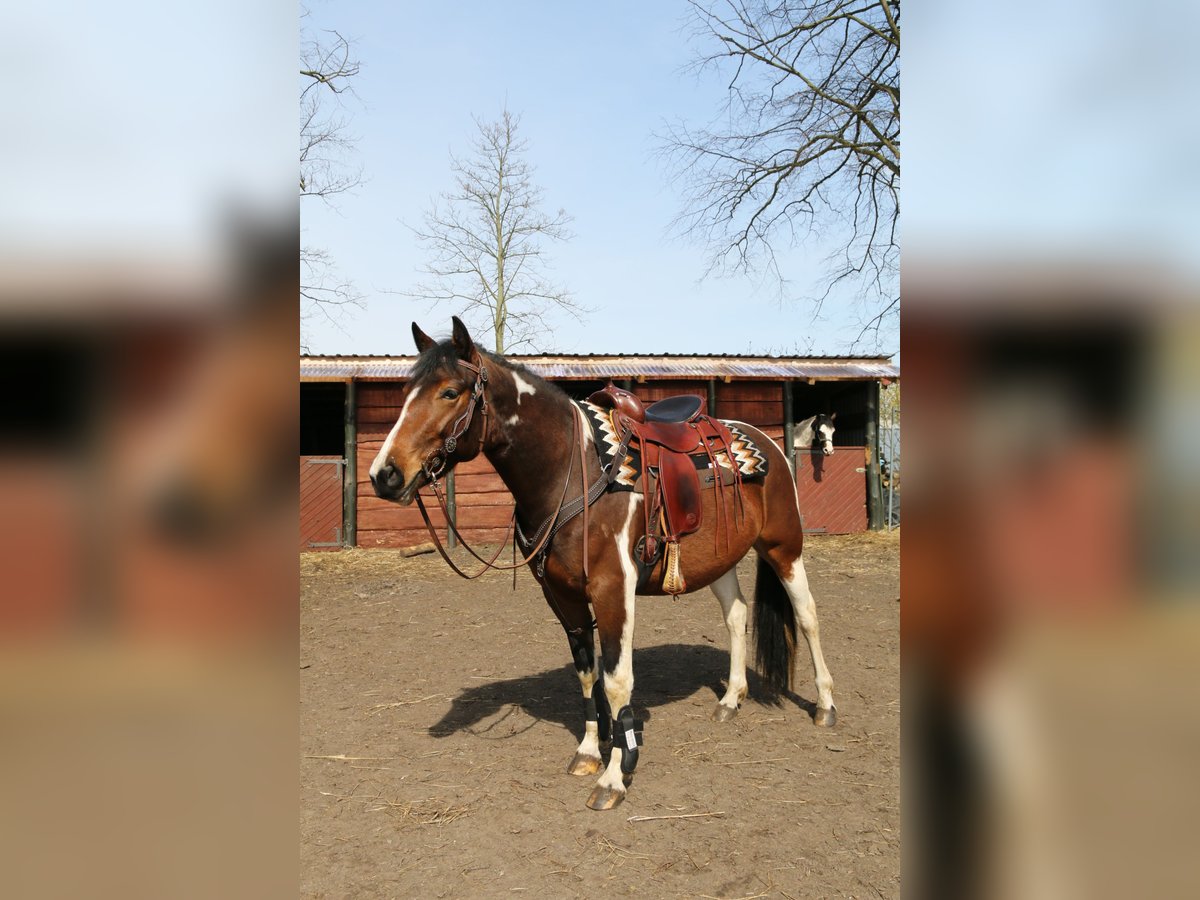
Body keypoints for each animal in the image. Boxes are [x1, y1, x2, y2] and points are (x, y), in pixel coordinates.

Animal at [369, 317, 836, 810]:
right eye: (407, 392)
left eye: (450, 392)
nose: (385, 475)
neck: (572, 472)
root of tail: (769, 444)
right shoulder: (563, 596)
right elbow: (586, 674)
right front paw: (591, 752)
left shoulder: (614, 590)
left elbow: (616, 681)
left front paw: (615, 776)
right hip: (720, 558)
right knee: (736, 615)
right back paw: (731, 699)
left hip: (784, 548)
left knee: (807, 615)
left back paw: (825, 706)